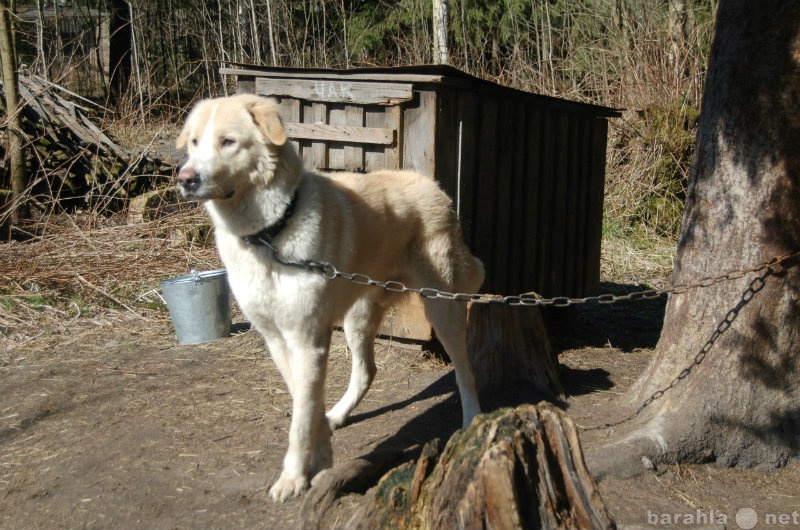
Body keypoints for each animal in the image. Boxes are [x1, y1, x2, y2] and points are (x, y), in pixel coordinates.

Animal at [176, 94, 484, 500]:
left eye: (228, 142)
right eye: (194, 142)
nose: (185, 179)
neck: (270, 235)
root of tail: (435, 187)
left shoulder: (307, 340)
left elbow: (301, 417)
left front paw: (292, 478)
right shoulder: (279, 340)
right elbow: (305, 404)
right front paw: (322, 458)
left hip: (441, 306)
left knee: (465, 370)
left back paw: (472, 419)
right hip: (358, 317)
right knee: (367, 371)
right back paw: (338, 413)